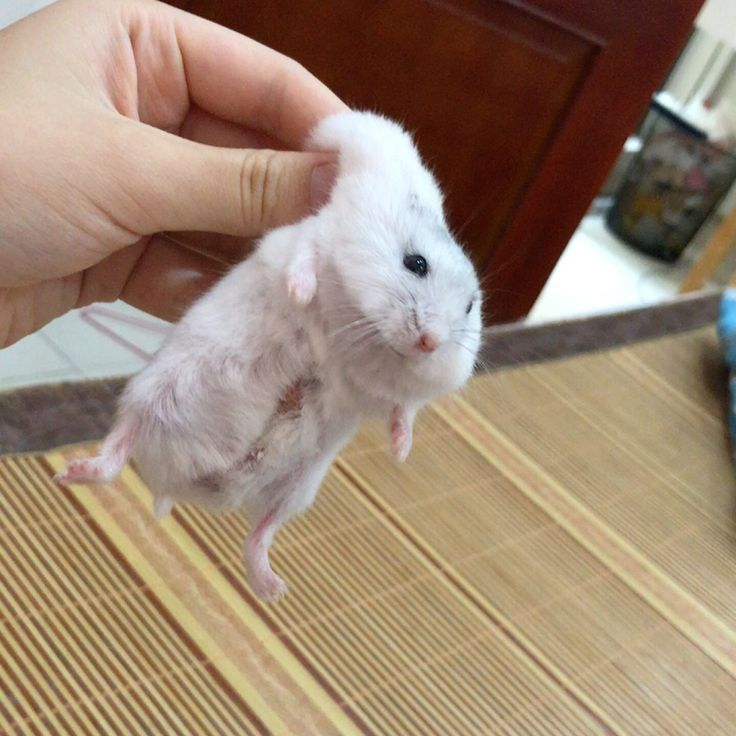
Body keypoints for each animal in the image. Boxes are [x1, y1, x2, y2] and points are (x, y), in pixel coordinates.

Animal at [55, 111, 483, 601]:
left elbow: (403, 410)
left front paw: (400, 451)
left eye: (470, 306)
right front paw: (300, 294)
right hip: (155, 391)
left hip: (297, 487)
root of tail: (178, 483)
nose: (430, 342)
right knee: (118, 447)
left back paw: (273, 589)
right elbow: (304, 261)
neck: (358, 337)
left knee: (258, 535)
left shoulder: (379, 395)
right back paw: (68, 474)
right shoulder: (309, 237)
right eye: (416, 263)